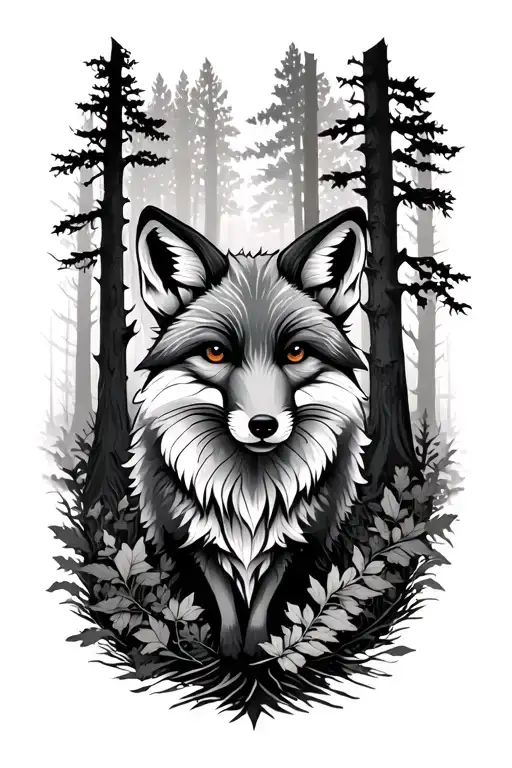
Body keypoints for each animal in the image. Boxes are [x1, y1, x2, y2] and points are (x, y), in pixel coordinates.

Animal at [127, 204, 370, 658]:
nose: (263, 426)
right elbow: (222, 597)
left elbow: (264, 602)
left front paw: (260, 653)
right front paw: (228, 652)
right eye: (215, 352)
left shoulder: (298, 541)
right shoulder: (191, 538)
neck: (250, 498)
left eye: (295, 353)